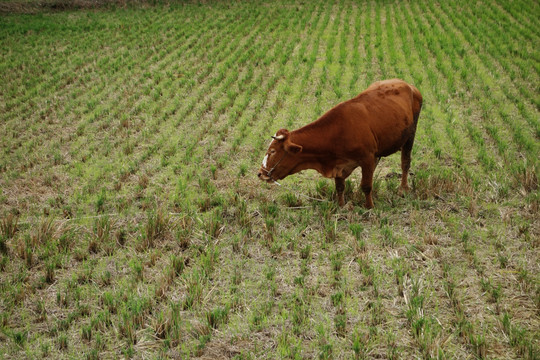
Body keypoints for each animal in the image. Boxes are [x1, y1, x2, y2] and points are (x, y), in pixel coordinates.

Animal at [258, 79, 422, 208]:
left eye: (272, 151)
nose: (260, 173)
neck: (338, 131)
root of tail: (408, 85)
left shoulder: (367, 158)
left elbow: (366, 186)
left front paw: (369, 207)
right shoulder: (338, 164)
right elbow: (340, 187)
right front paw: (342, 206)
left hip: (410, 135)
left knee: (405, 162)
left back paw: (403, 189)